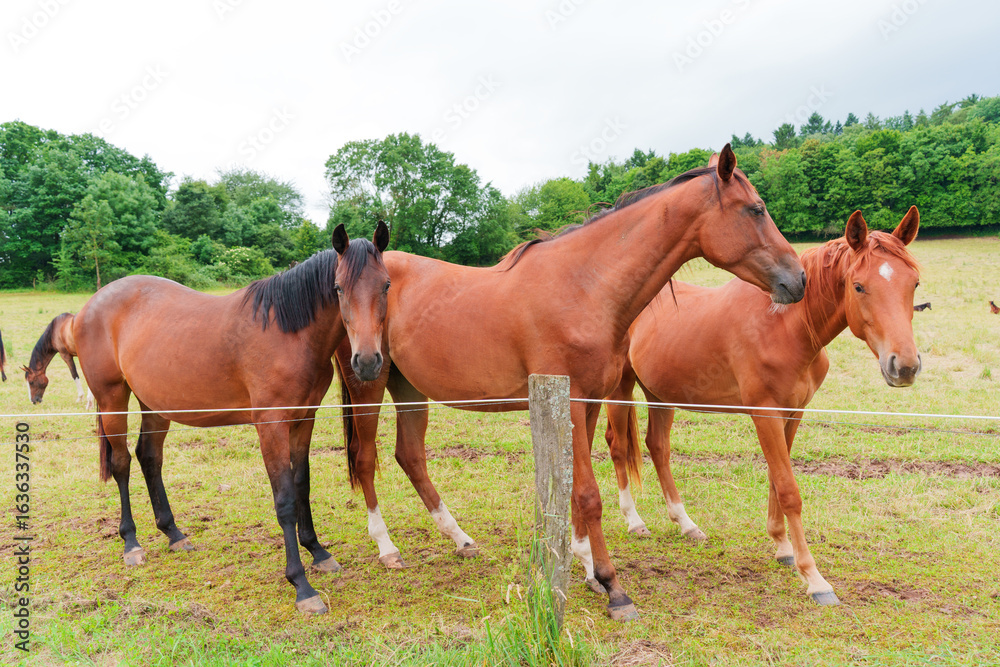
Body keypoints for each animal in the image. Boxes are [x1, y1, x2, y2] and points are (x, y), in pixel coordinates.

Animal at [74, 222, 390, 615]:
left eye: (386, 285)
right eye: (338, 288)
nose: (367, 361)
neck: (288, 331)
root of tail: (91, 304)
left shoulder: (304, 421)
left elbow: (302, 485)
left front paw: (318, 552)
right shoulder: (271, 426)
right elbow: (285, 500)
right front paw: (301, 585)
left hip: (155, 405)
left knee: (149, 458)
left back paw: (174, 534)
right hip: (112, 399)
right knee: (121, 463)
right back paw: (131, 543)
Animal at [334, 145, 806, 621]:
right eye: (756, 209)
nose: (798, 279)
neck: (585, 286)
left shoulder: (590, 402)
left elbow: (574, 486)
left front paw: (585, 565)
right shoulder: (574, 400)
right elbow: (588, 494)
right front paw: (614, 586)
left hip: (409, 390)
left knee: (410, 456)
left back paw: (460, 538)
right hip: (368, 384)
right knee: (367, 460)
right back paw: (387, 548)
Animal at [602, 207, 921, 606]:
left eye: (914, 284)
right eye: (859, 286)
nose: (904, 366)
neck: (784, 327)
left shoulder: (792, 414)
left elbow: (775, 480)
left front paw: (783, 548)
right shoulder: (765, 414)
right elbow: (789, 491)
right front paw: (814, 577)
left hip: (660, 393)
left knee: (657, 447)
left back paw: (687, 524)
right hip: (620, 389)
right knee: (619, 446)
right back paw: (635, 521)